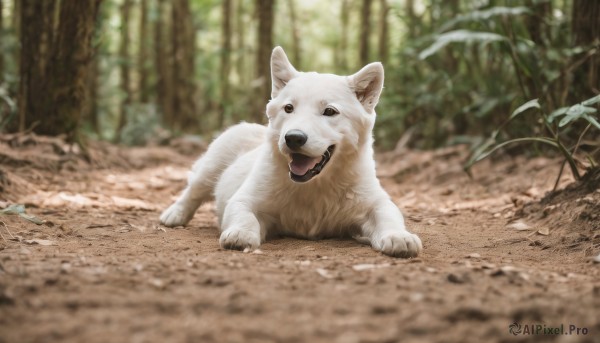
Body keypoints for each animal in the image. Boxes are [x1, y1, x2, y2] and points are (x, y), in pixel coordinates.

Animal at [159, 46, 422, 258]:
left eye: (329, 111)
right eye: (289, 108)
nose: (293, 138)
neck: (314, 186)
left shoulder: (375, 202)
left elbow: (389, 215)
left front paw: (399, 237)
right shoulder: (244, 198)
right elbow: (244, 214)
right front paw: (240, 234)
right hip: (214, 162)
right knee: (193, 190)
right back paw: (174, 215)